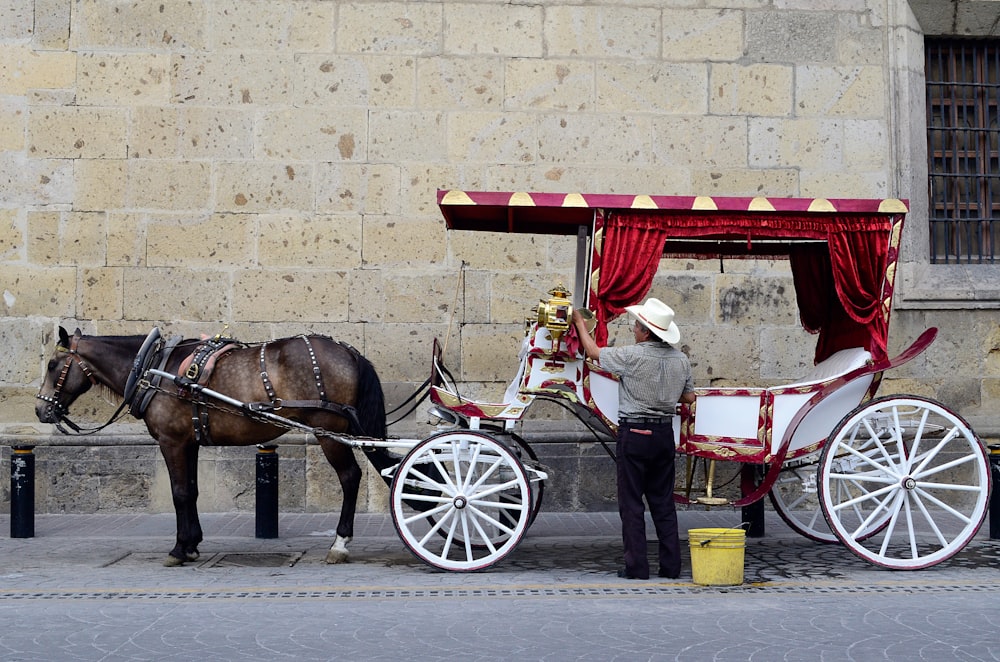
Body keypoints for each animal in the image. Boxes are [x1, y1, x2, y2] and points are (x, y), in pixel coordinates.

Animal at [36, 326, 394, 564]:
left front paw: (180, 549)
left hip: (327, 430)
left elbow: (180, 493)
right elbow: (192, 491)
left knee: (350, 478)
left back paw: (340, 542)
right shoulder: (189, 442)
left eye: (53, 365)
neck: (152, 368)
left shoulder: (172, 442)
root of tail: (350, 352)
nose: (41, 410)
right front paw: (193, 543)